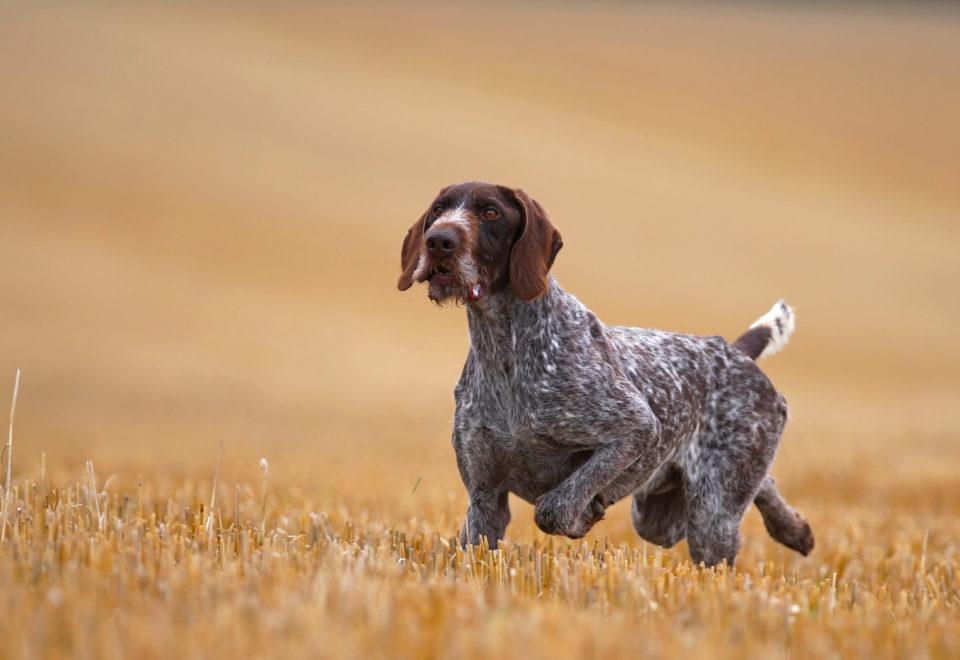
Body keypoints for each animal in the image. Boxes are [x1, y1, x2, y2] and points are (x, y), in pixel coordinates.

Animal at [394, 182, 812, 568]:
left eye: (491, 213)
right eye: (439, 209)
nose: (439, 241)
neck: (505, 351)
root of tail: (735, 350)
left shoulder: (637, 428)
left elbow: (554, 507)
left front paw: (580, 515)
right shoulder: (485, 497)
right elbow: (474, 553)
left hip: (712, 515)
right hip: (660, 515)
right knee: (759, 487)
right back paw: (796, 529)